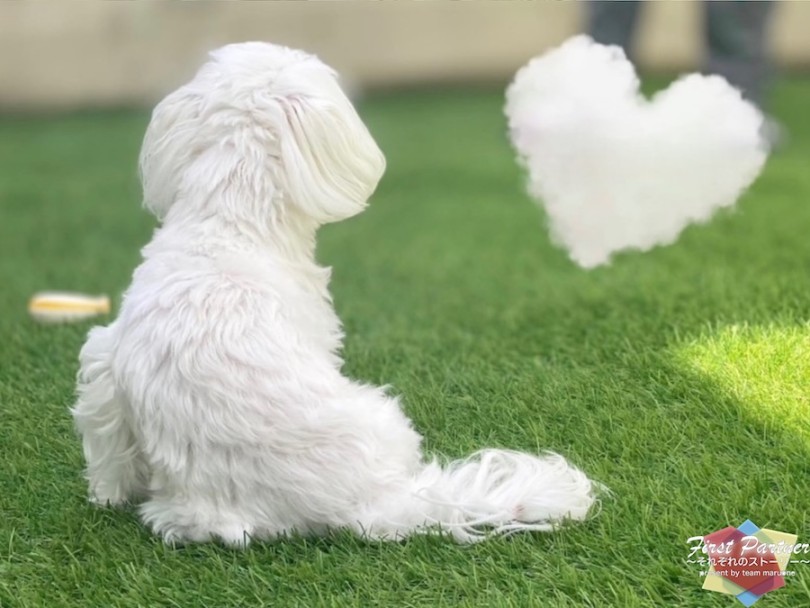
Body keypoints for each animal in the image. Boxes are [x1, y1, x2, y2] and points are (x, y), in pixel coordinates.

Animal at [72, 42, 598, 546]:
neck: (226, 225)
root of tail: (369, 503)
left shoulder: (103, 361)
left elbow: (107, 449)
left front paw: (108, 495)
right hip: (386, 416)